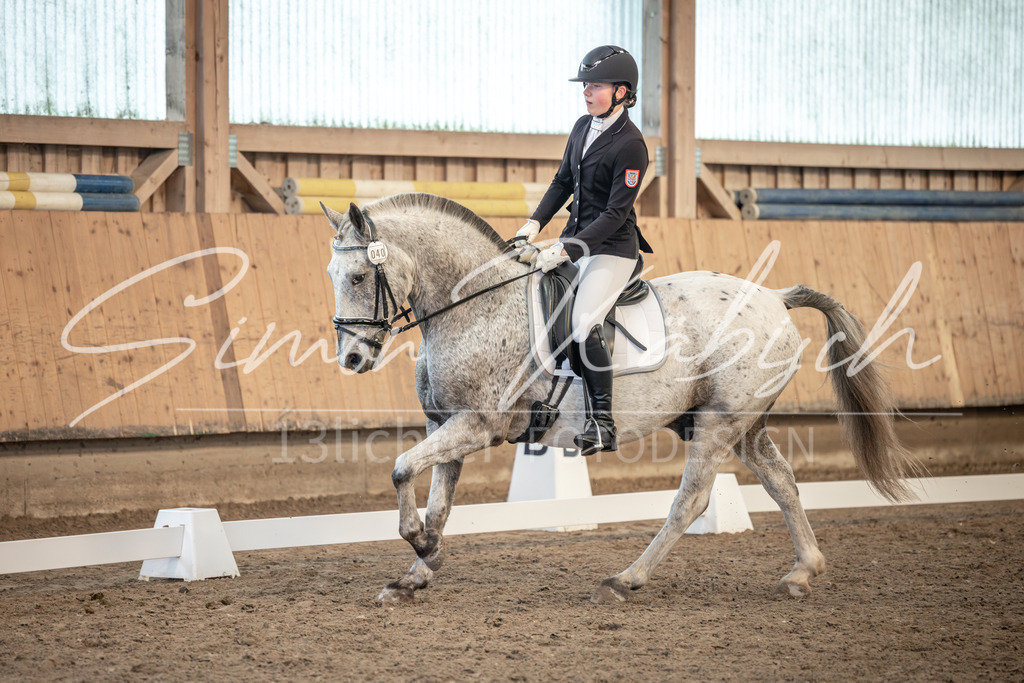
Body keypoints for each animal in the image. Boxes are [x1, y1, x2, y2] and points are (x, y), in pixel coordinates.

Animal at [320, 193, 917, 605]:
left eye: (358, 276)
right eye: (332, 274)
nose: (352, 358)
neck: (474, 308)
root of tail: (774, 296)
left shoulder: (475, 425)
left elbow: (401, 469)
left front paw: (421, 546)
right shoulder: (447, 424)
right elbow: (439, 502)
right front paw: (417, 572)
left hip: (720, 424)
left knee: (692, 501)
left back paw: (625, 580)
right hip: (741, 425)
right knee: (783, 483)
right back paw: (802, 571)